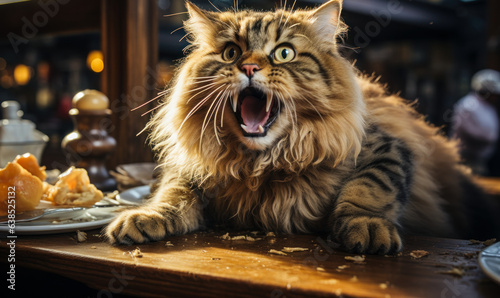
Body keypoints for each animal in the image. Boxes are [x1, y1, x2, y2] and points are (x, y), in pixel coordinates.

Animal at [103, 0, 498, 254]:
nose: (248, 67)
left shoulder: (386, 147)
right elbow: (171, 196)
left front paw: (367, 227)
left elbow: (369, 189)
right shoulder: (191, 168)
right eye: (231, 53)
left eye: (284, 54)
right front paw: (145, 216)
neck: (263, 164)